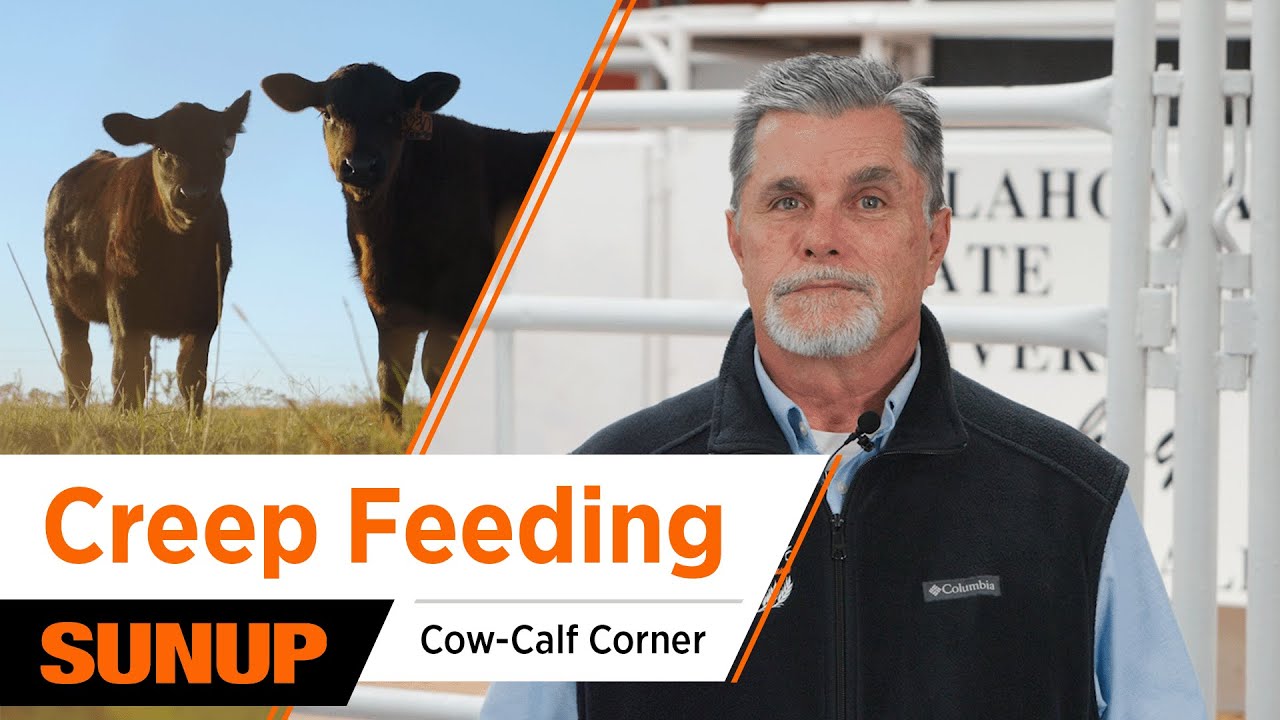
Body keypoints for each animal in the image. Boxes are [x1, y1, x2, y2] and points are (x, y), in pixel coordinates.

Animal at [44, 91, 251, 414]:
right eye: (162, 149)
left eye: (219, 148)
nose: (192, 194)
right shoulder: (125, 305)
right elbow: (127, 372)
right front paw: (123, 418)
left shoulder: (206, 311)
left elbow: (190, 374)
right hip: (60, 296)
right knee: (76, 361)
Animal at [260, 64, 551, 427]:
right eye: (328, 114)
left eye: (393, 114)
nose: (360, 166)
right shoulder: (386, 307)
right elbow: (390, 377)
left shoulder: (457, 294)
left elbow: (434, 367)